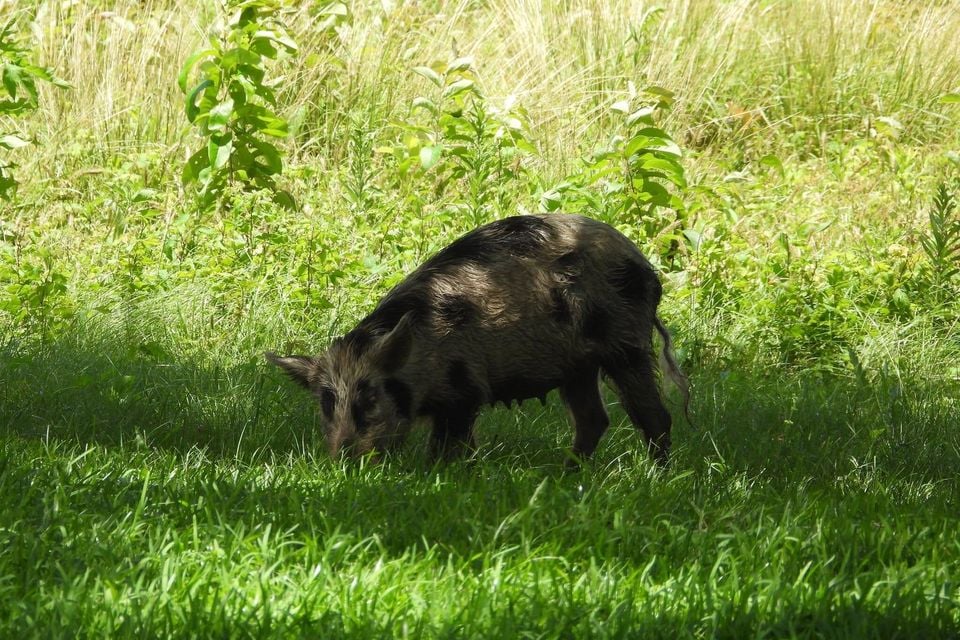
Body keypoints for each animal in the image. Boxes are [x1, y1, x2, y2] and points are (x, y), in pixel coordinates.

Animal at [267, 213, 688, 465]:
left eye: (370, 397)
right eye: (326, 403)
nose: (344, 458)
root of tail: (645, 265)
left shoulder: (466, 389)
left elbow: (448, 444)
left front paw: (438, 475)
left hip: (626, 344)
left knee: (655, 416)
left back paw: (657, 476)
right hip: (577, 367)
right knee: (593, 420)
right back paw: (567, 476)